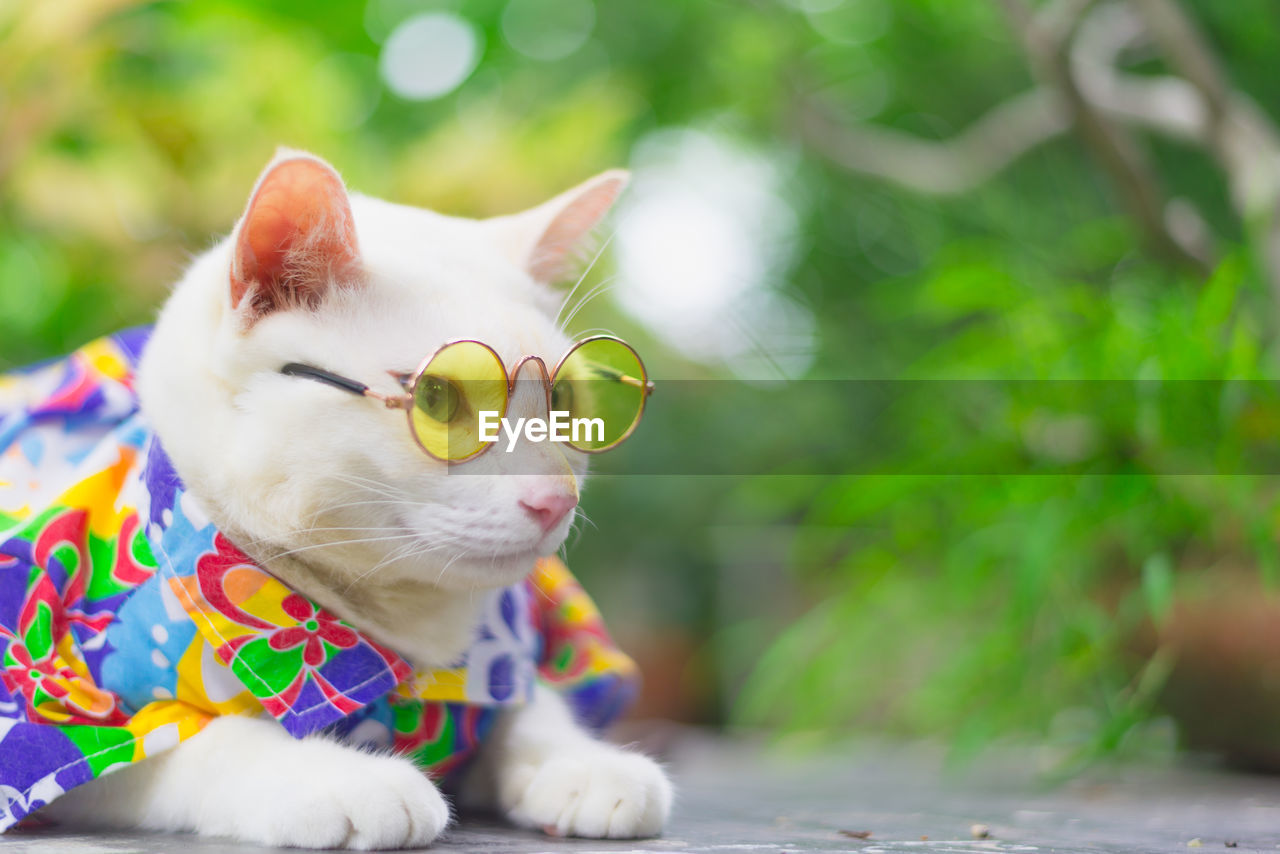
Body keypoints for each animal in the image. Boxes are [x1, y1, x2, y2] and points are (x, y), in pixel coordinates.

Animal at [38, 151, 670, 850]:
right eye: (437, 399)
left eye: (562, 402)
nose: (554, 500)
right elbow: (193, 740)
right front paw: (344, 779)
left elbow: (527, 707)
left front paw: (582, 764)